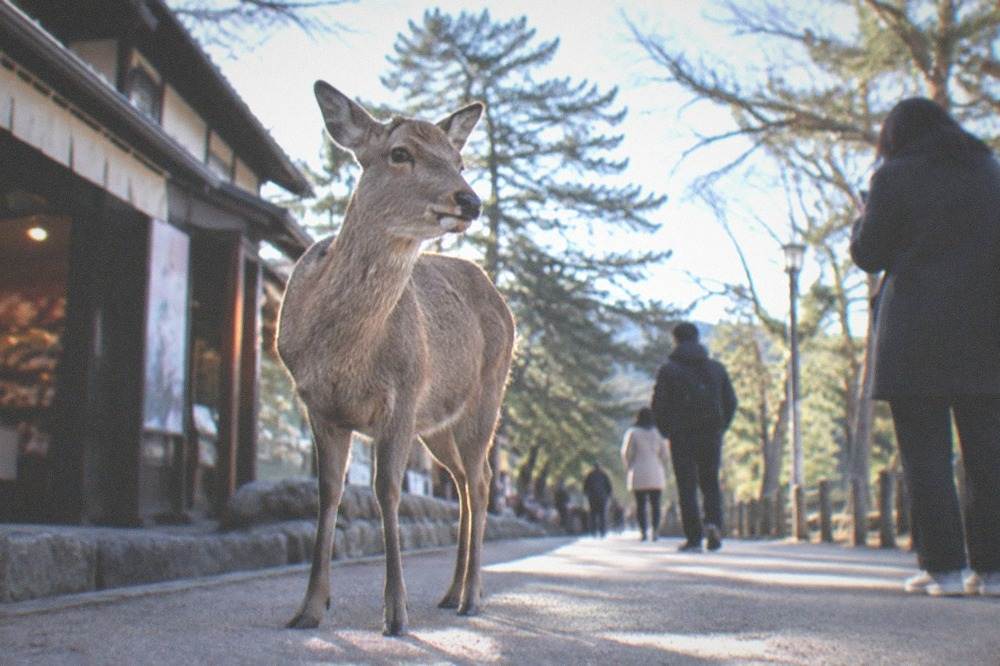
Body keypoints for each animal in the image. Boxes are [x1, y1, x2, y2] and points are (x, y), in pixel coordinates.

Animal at [276, 81, 515, 636]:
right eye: (400, 153)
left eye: (460, 160)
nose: (469, 199)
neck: (345, 355)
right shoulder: (317, 404)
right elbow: (328, 492)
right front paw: (309, 608)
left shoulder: (404, 395)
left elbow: (387, 491)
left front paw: (396, 613)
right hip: (438, 425)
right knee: (463, 483)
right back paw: (450, 593)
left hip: (486, 400)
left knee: (481, 482)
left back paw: (472, 596)